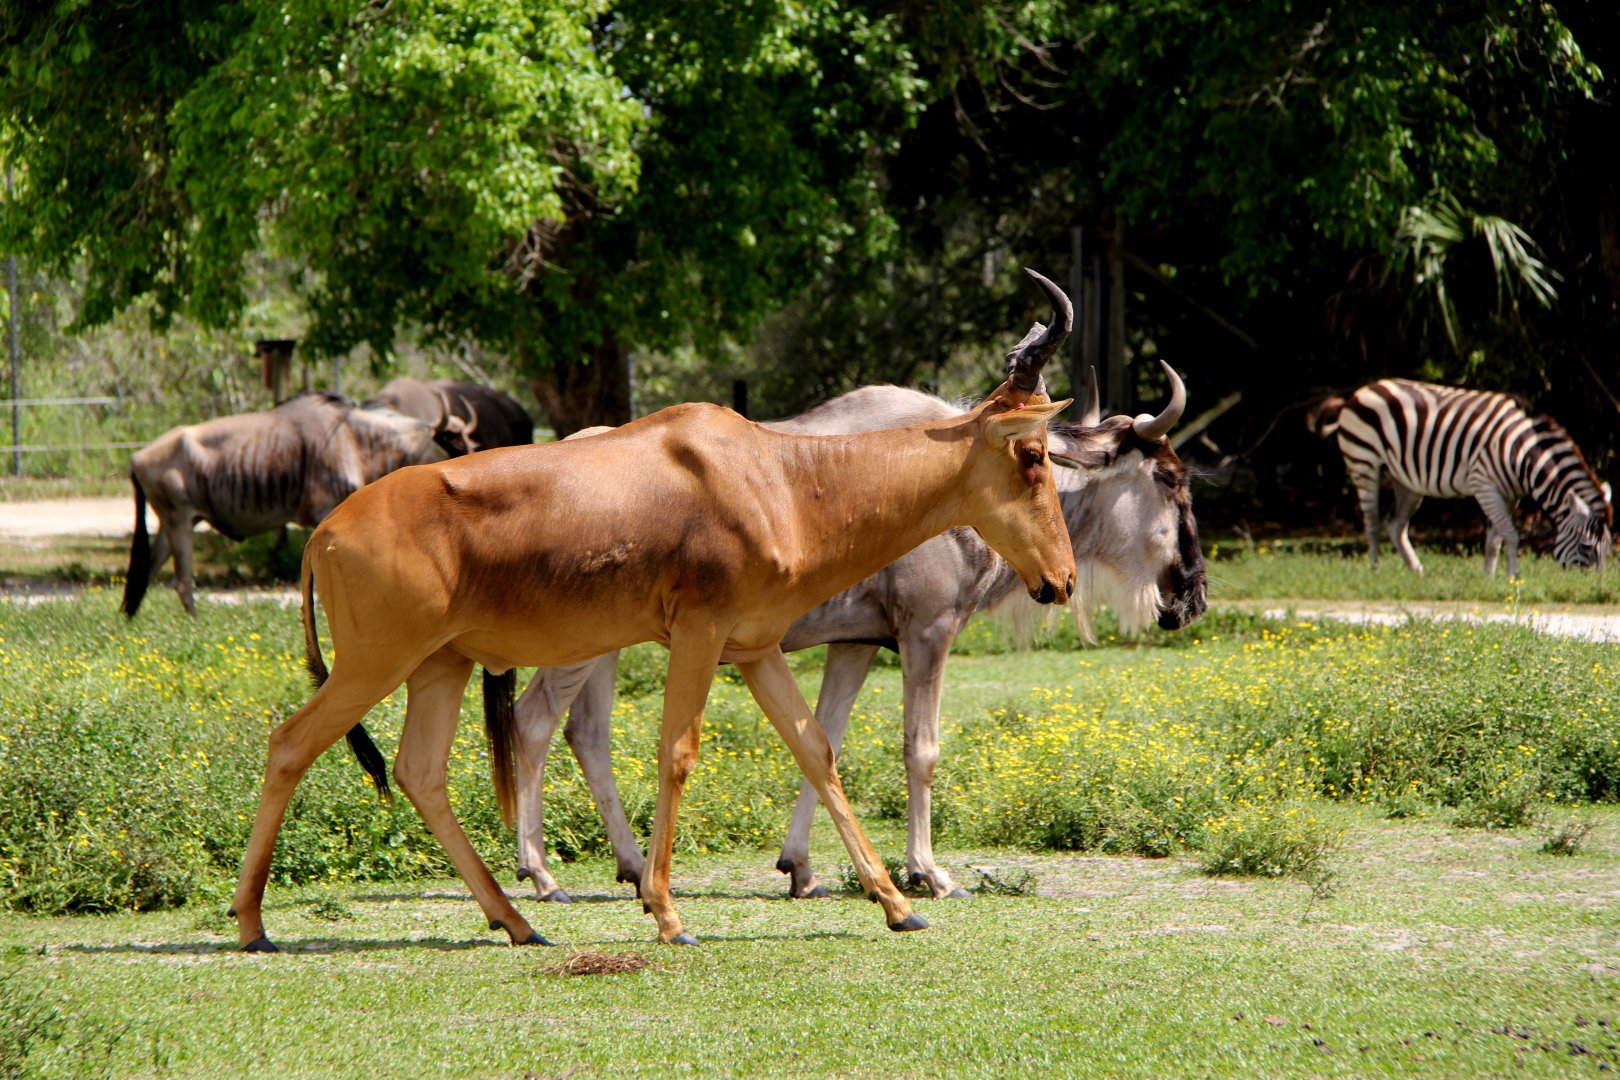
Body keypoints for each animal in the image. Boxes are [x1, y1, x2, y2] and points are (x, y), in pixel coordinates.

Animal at [230, 269, 1079, 950]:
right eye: (1032, 454)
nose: (1062, 582)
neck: (773, 472)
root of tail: (327, 532)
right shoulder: (701, 636)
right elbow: (678, 752)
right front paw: (667, 913)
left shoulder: (755, 648)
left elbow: (815, 749)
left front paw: (899, 905)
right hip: (377, 662)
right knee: (290, 743)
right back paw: (254, 925)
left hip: (441, 665)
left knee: (420, 771)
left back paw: (518, 921)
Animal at [507, 364, 1205, 904]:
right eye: (1170, 479)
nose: (1193, 594)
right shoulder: (927, 632)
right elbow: (920, 750)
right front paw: (928, 873)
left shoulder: (856, 645)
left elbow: (824, 741)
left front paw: (802, 868)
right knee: (534, 719)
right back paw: (541, 876)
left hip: (602, 647)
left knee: (586, 732)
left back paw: (628, 866)